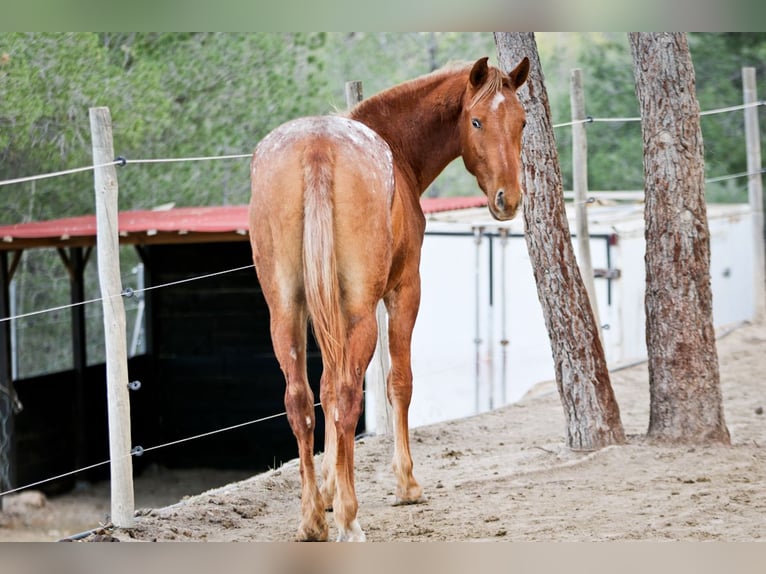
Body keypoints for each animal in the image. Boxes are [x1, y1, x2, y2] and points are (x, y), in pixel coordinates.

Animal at [249, 56, 532, 544]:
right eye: (477, 120)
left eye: (522, 122)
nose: (508, 199)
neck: (396, 151)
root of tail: (317, 150)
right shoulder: (404, 291)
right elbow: (398, 381)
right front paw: (405, 484)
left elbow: (324, 388)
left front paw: (327, 489)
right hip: (361, 312)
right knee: (348, 396)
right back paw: (349, 519)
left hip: (286, 312)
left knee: (301, 399)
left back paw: (312, 520)